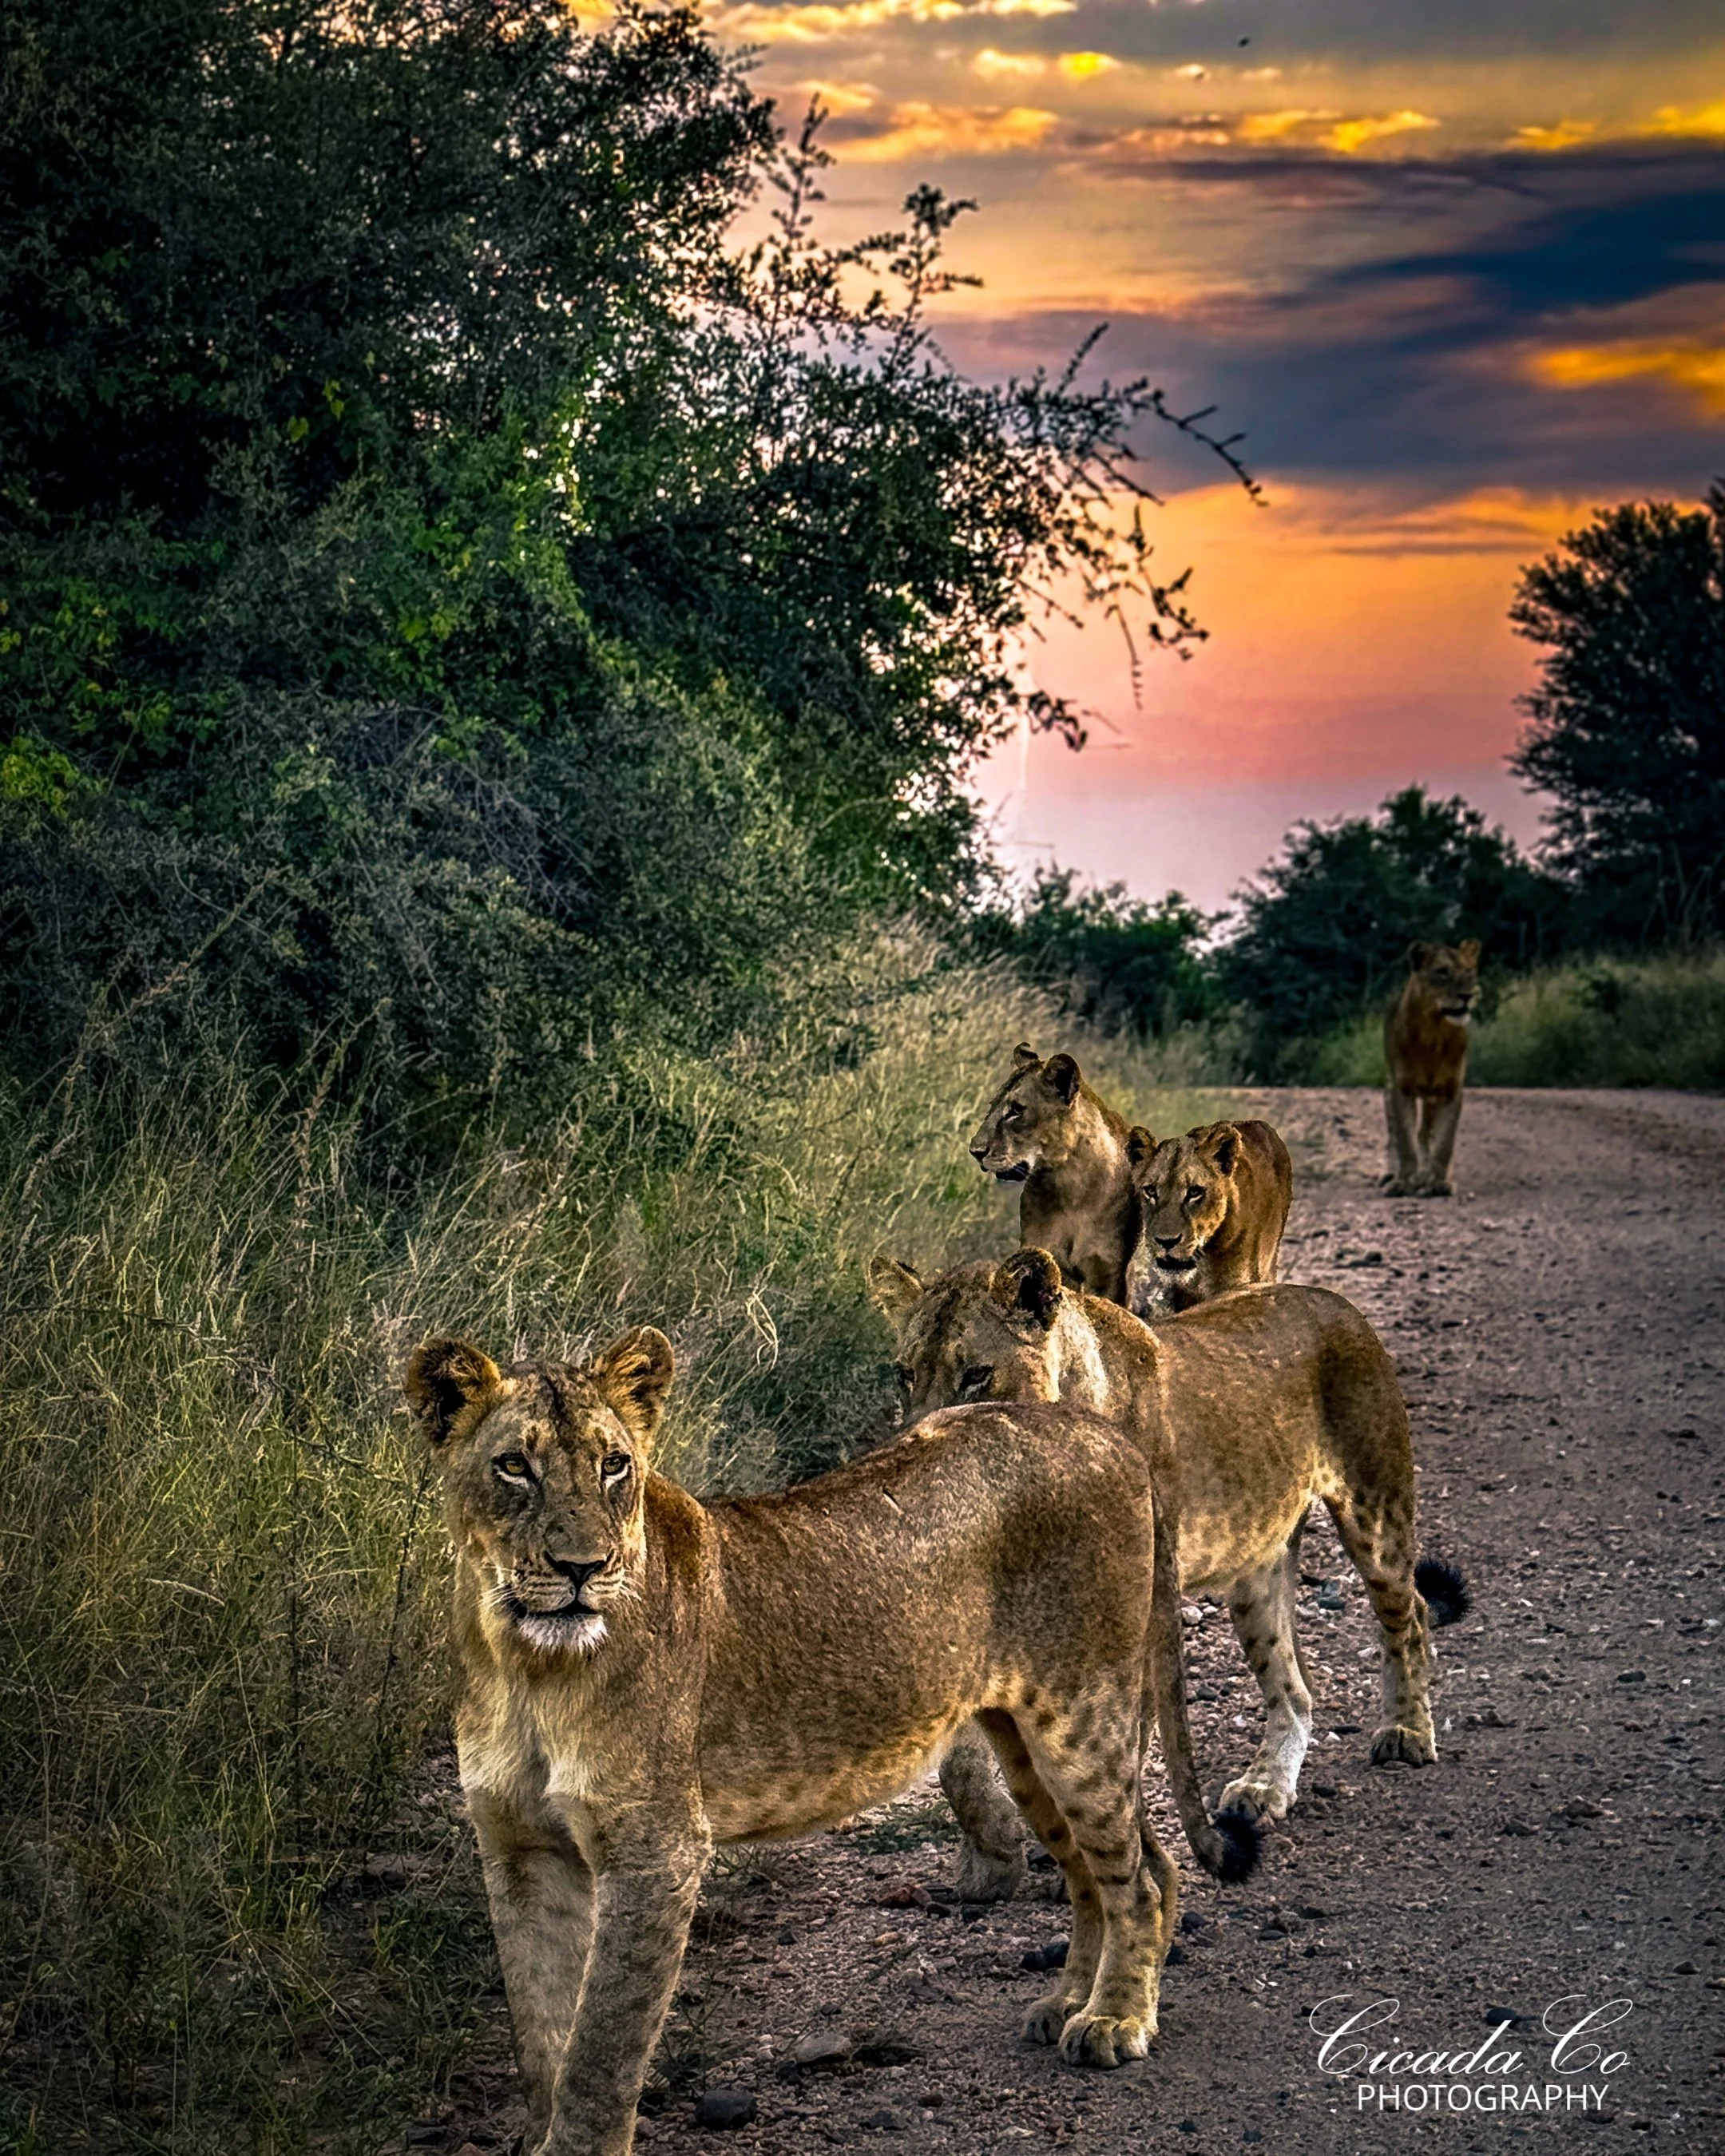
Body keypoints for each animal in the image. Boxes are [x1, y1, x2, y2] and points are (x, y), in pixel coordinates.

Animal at [404, 1326, 1256, 2155]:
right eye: (514, 1466)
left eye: (614, 1465)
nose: (583, 1568)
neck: (527, 1665)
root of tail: (1108, 1434)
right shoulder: (519, 1849)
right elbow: (542, 2029)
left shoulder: (657, 1851)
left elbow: (602, 2045)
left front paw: (577, 2137)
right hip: (1023, 1740)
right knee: (1111, 1871)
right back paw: (1071, 2002)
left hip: (1083, 1716)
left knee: (1139, 1881)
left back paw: (1116, 2020)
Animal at [869, 1251, 1468, 1881]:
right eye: (904, 1374)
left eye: (977, 1374)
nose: (920, 1446)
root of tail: (1333, 1300)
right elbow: (971, 1755)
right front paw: (995, 1857)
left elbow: (1123, 1747)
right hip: (1255, 1571)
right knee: (1294, 1689)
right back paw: (1264, 1788)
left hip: (1375, 1508)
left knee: (1409, 1612)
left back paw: (1406, 1731)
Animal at [968, 1044, 1140, 1304]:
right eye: (992, 1106)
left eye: (1016, 1110)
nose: (975, 1151)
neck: (1068, 1187)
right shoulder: (1047, 1255)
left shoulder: (1107, 1274)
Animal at [1383, 939, 1481, 1196]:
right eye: (1442, 971)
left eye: (1469, 971)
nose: (1467, 995)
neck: (1434, 1034)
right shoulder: (1401, 1088)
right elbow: (1405, 1139)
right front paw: (1404, 1181)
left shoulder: (1452, 1090)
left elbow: (1445, 1141)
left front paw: (1438, 1181)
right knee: (1396, 1135)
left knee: (1425, 1133)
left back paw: (1425, 1175)